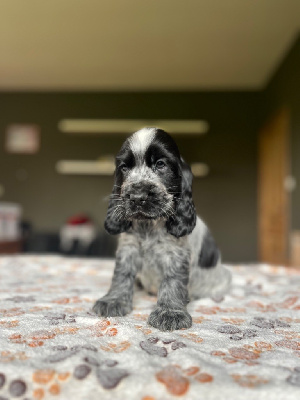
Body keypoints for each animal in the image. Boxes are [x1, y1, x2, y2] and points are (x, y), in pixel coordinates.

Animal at [92, 128, 231, 332]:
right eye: (124, 168)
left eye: (160, 164)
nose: (137, 196)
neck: (148, 227)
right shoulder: (128, 248)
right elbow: (121, 274)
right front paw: (113, 300)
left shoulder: (176, 254)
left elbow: (172, 281)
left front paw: (170, 312)